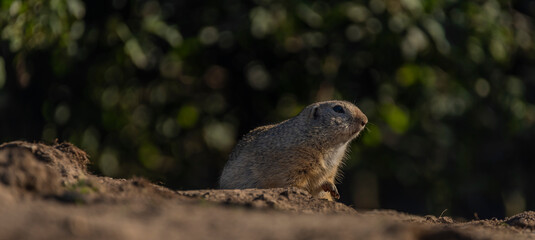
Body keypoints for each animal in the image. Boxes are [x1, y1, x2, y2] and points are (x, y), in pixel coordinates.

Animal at [219, 100, 368, 200]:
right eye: (338, 108)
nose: (365, 120)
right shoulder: (291, 166)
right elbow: (292, 184)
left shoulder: (330, 169)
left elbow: (323, 183)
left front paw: (332, 188)